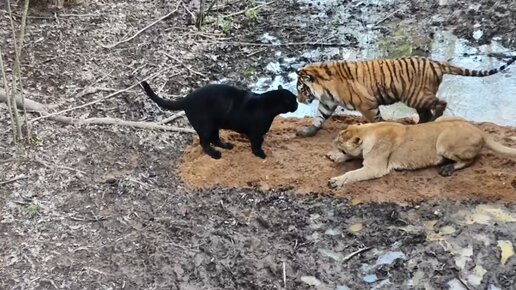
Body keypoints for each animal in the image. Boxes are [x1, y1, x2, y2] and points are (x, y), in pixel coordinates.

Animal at [294, 56, 516, 138]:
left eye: (301, 89)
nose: (298, 100)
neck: (324, 86)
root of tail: (437, 63)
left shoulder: (367, 104)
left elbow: (376, 120)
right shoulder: (327, 103)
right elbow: (319, 117)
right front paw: (307, 131)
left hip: (416, 96)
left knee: (441, 103)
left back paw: (431, 120)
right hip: (417, 98)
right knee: (426, 113)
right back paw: (421, 125)